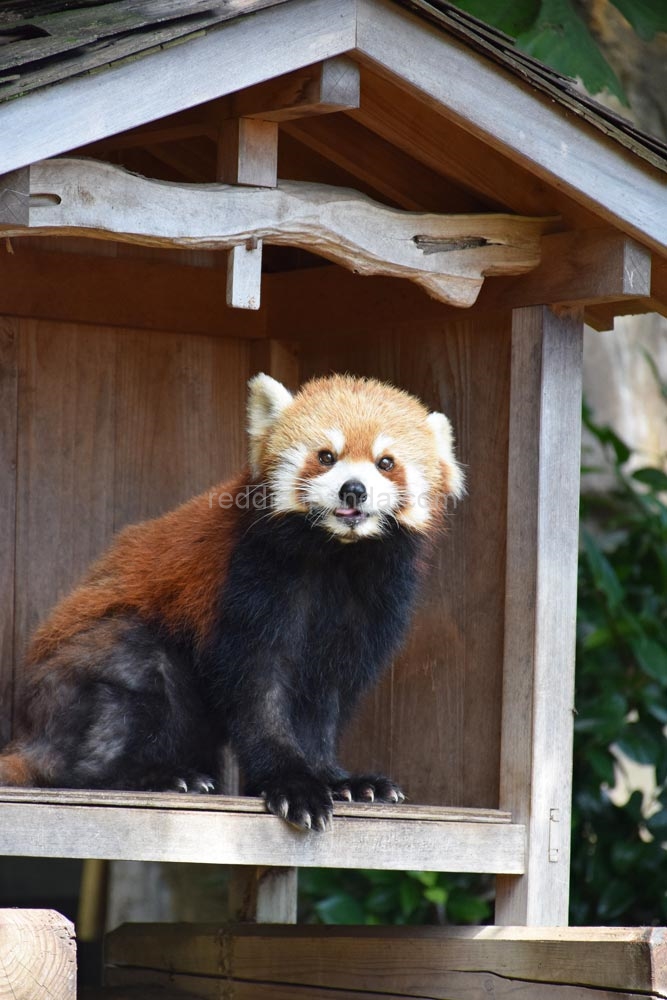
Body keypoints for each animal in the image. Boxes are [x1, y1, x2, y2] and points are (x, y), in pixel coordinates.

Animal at [0, 376, 464, 828]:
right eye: (326, 456)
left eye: (386, 462)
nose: (354, 490)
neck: (336, 556)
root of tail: (28, 730)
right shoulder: (251, 579)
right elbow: (258, 687)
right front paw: (292, 784)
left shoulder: (371, 604)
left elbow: (324, 700)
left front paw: (340, 780)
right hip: (91, 672)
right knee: (128, 688)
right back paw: (155, 776)